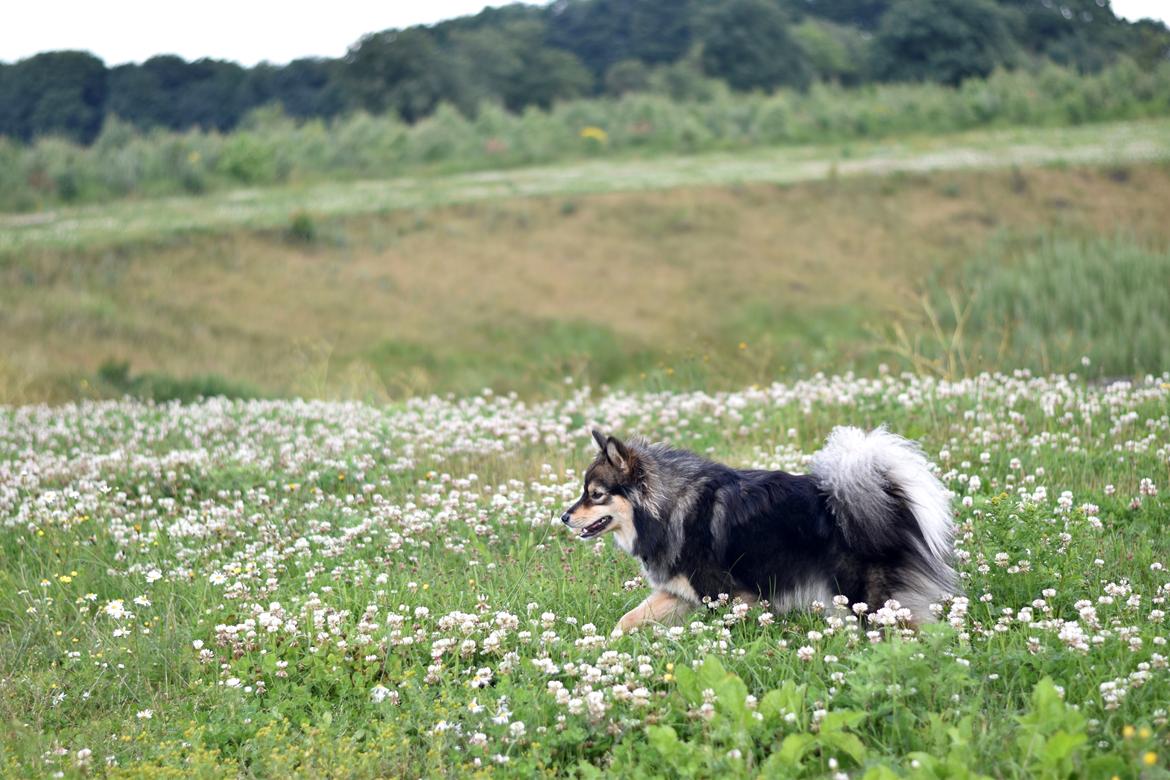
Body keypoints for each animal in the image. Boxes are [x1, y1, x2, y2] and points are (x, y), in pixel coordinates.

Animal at [561, 428, 954, 636]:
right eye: (585, 492)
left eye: (595, 495)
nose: (564, 517)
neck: (668, 505)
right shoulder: (679, 592)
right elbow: (627, 619)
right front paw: (609, 644)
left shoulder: (728, 595)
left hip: (870, 600)